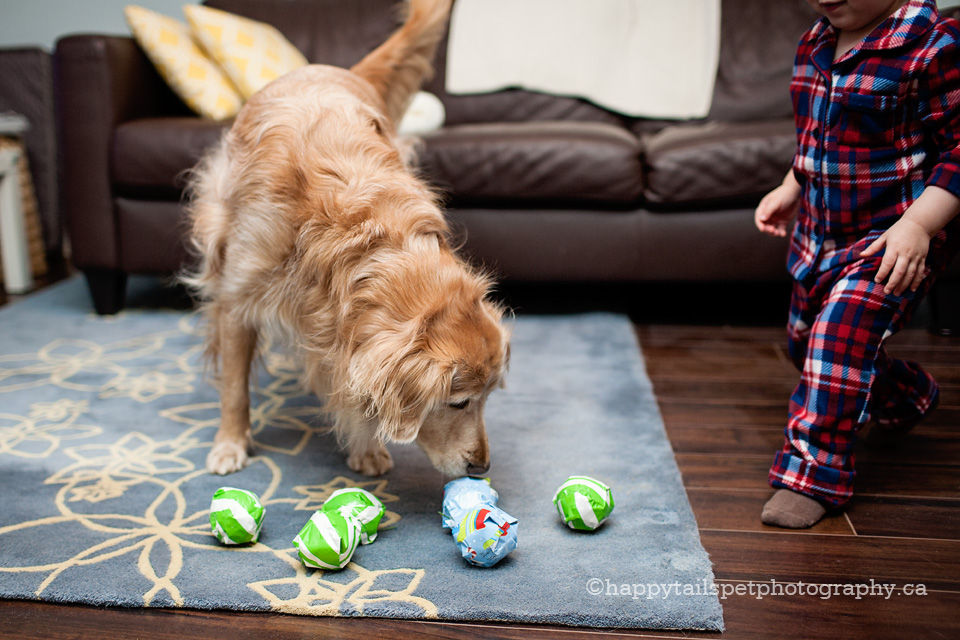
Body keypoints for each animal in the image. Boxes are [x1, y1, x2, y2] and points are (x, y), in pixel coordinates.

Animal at [182, 0, 510, 478]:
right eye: (458, 402)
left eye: (487, 398)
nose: (481, 467)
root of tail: (324, 66)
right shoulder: (237, 296)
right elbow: (234, 387)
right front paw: (230, 443)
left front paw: (366, 446)